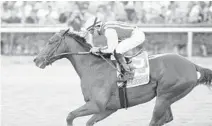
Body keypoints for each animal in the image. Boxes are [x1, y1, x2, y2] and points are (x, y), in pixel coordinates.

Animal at [33, 29, 212, 125]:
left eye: (51, 41)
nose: (36, 60)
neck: (93, 68)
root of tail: (192, 65)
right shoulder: (108, 108)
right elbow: (89, 121)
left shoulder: (96, 105)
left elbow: (70, 115)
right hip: (165, 97)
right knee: (166, 118)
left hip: (165, 96)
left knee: (156, 120)